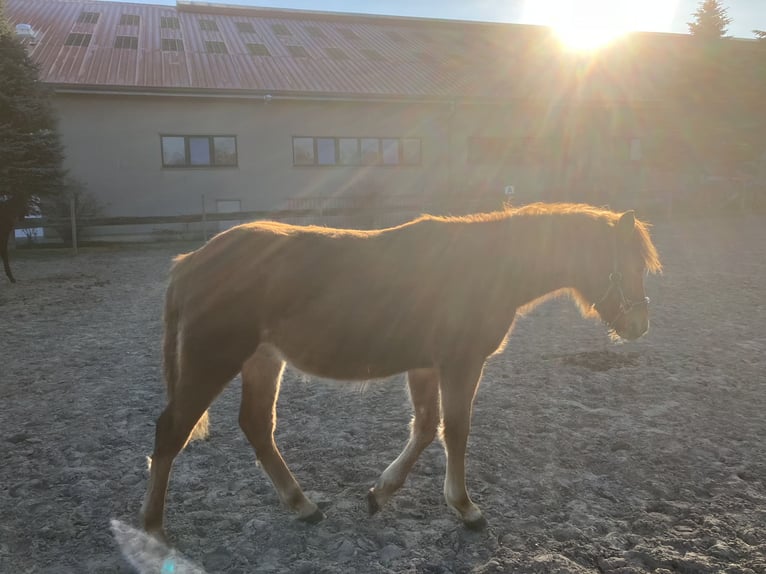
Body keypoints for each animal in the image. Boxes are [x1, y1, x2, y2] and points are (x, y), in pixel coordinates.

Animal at [144, 201, 664, 540]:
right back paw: (153, 528)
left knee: (256, 425)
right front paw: (466, 508)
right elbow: (455, 430)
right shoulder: (460, 363)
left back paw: (303, 506)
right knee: (172, 431)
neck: (481, 267)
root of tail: (191, 261)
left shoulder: (425, 366)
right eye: (629, 264)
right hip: (214, 360)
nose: (640, 326)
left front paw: (381, 493)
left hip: (263, 361)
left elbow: (426, 427)